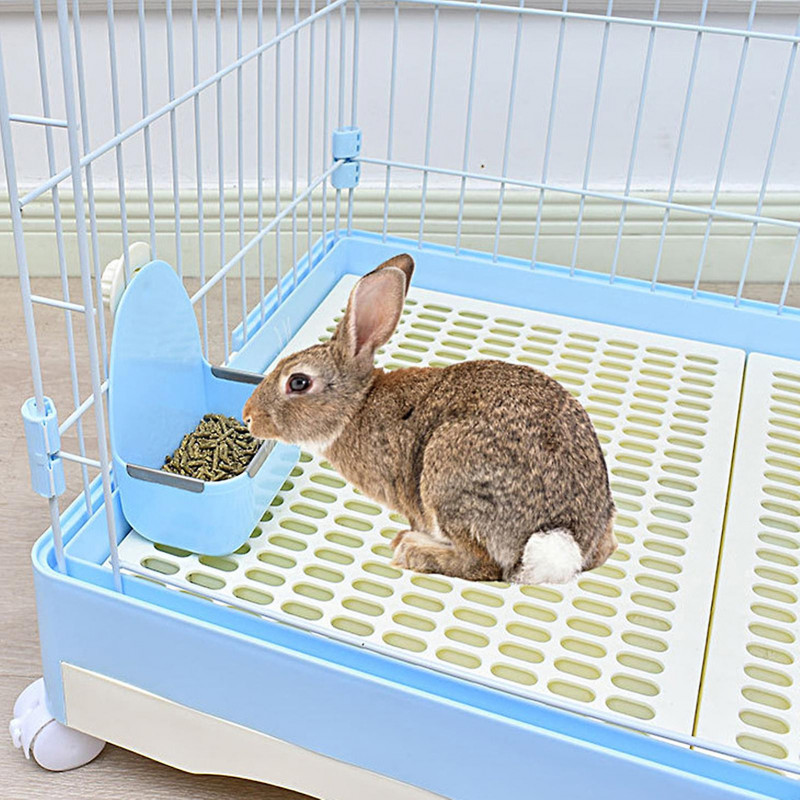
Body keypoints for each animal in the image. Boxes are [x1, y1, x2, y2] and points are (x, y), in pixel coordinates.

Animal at [243, 254, 617, 584]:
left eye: (298, 382)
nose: (248, 416)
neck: (357, 406)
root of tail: (562, 539)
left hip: (448, 478)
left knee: (484, 565)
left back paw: (413, 550)